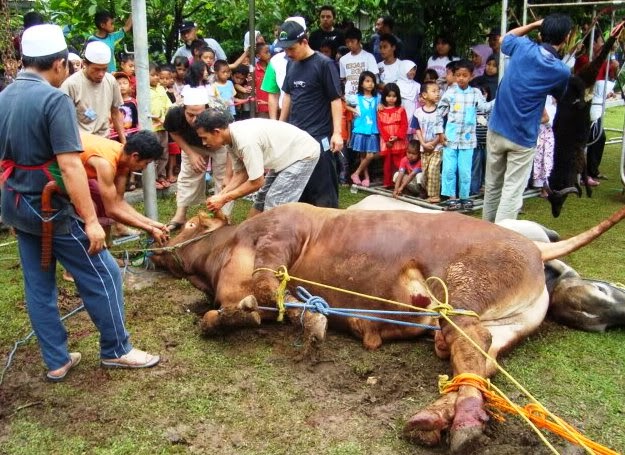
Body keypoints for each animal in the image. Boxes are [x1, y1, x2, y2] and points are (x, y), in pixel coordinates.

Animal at [150, 205, 624, 454]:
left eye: (188, 224)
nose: (156, 246)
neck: (220, 256)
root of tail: (536, 247)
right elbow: (234, 312)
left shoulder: (280, 235)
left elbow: (270, 287)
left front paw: (314, 321)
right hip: (508, 323)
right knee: (478, 359)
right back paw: (433, 417)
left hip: (463, 289)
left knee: (471, 343)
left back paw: (463, 423)